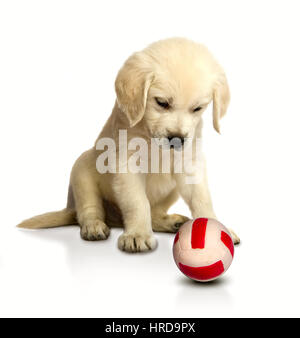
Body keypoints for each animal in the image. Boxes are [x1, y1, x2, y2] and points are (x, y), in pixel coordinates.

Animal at [17, 38, 240, 252]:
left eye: (197, 108)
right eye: (161, 103)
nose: (177, 139)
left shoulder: (189, 163)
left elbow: (201, 198)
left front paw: (216, 227)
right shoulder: (126, 165)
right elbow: (137, 203)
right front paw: (137, 235)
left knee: (154, 211)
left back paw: (171, 222)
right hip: (81, 171)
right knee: (88, 210)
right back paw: (94, 226)